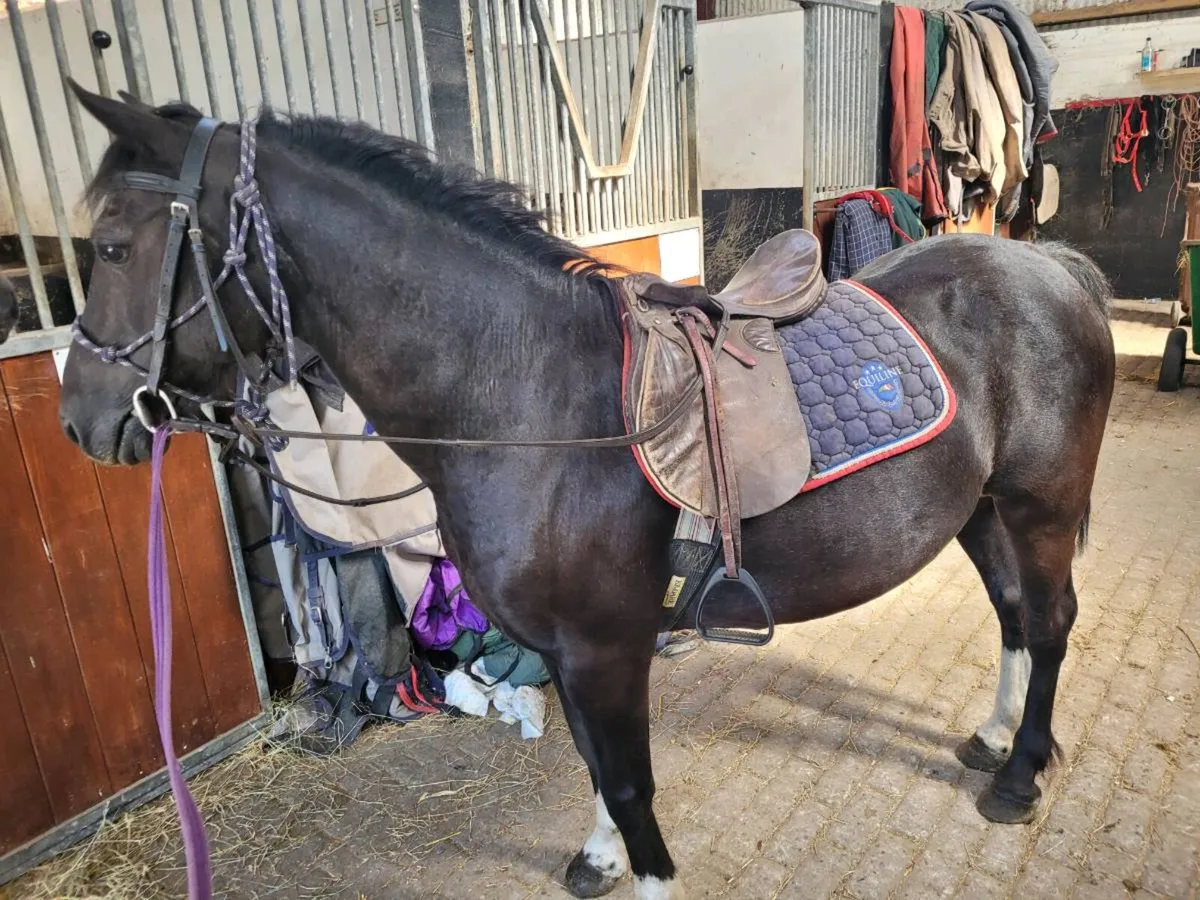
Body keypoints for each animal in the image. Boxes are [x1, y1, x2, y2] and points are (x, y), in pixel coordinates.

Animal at [59, 85, 1114, 900]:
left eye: (110, 247)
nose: (81, 421)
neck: (527, 394)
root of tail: (1049, 265)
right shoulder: (568, 653)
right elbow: (594, 768)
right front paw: (599, 856)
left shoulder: (607, 646)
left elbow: (632, 783)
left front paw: (640, 871)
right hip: (979, 510)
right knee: (1014, 615)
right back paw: (990, 737)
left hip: (1040, 506)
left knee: (1051, 621)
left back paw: (1020, 775)